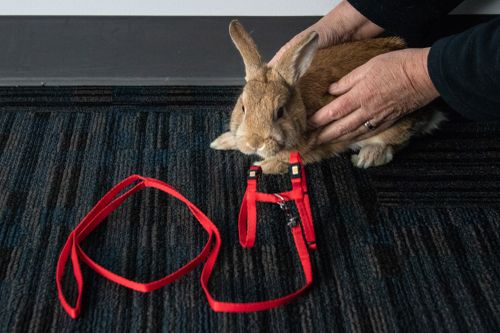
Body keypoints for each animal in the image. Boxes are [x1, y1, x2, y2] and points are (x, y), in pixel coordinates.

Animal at [209, 20, 444, 174]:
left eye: (280, 112)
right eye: (243, 108)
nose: (254, 142)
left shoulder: (310, 147)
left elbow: (286, 160)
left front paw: (262, 166)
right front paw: (221, 142)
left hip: (394, 123)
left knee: (396, 144)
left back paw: (367, 157)